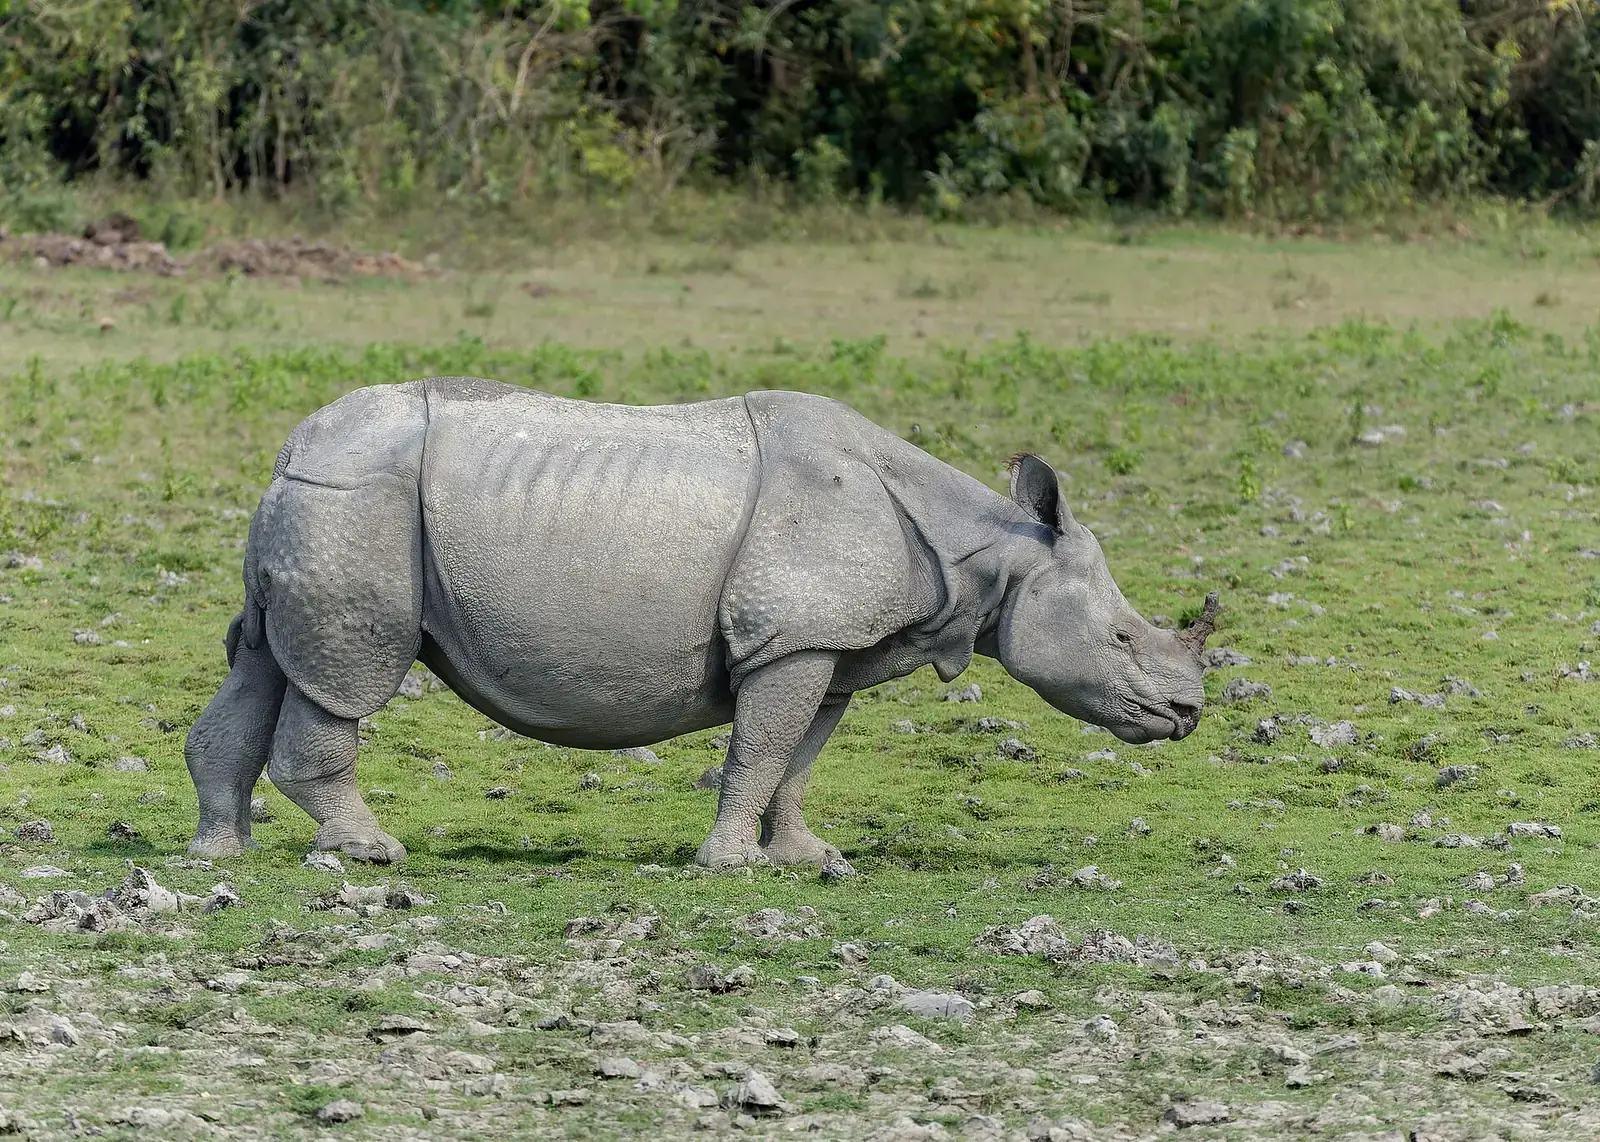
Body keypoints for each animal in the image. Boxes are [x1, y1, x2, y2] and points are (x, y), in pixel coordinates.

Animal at [185, 378, 1218, 871]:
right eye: (1123, 639)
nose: (1186, 713)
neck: (990, 551)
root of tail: (291, 447)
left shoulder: (827, 642)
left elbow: (799, 757)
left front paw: (808, 857)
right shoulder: (793, 633)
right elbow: (760, 751)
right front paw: (731, 867)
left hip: (320, 507)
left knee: (264, 661)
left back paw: (219, 853)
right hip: (358, 507)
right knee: (347, 675)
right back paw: (369, 852)